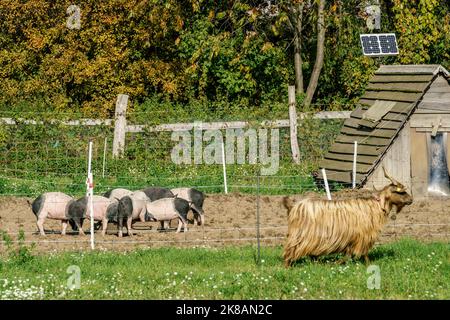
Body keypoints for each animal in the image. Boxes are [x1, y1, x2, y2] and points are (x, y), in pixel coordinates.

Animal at [284, 168, 414, 268]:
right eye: (401, 192)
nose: (411, 200)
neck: (375, 206)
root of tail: (294, 207)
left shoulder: (353, 236)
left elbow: (349, 253)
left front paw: (337, 263)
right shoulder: (363, 234)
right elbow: (363, 253)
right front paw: (368, 265)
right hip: (302, 235)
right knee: (291, 250)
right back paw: (287, 267)